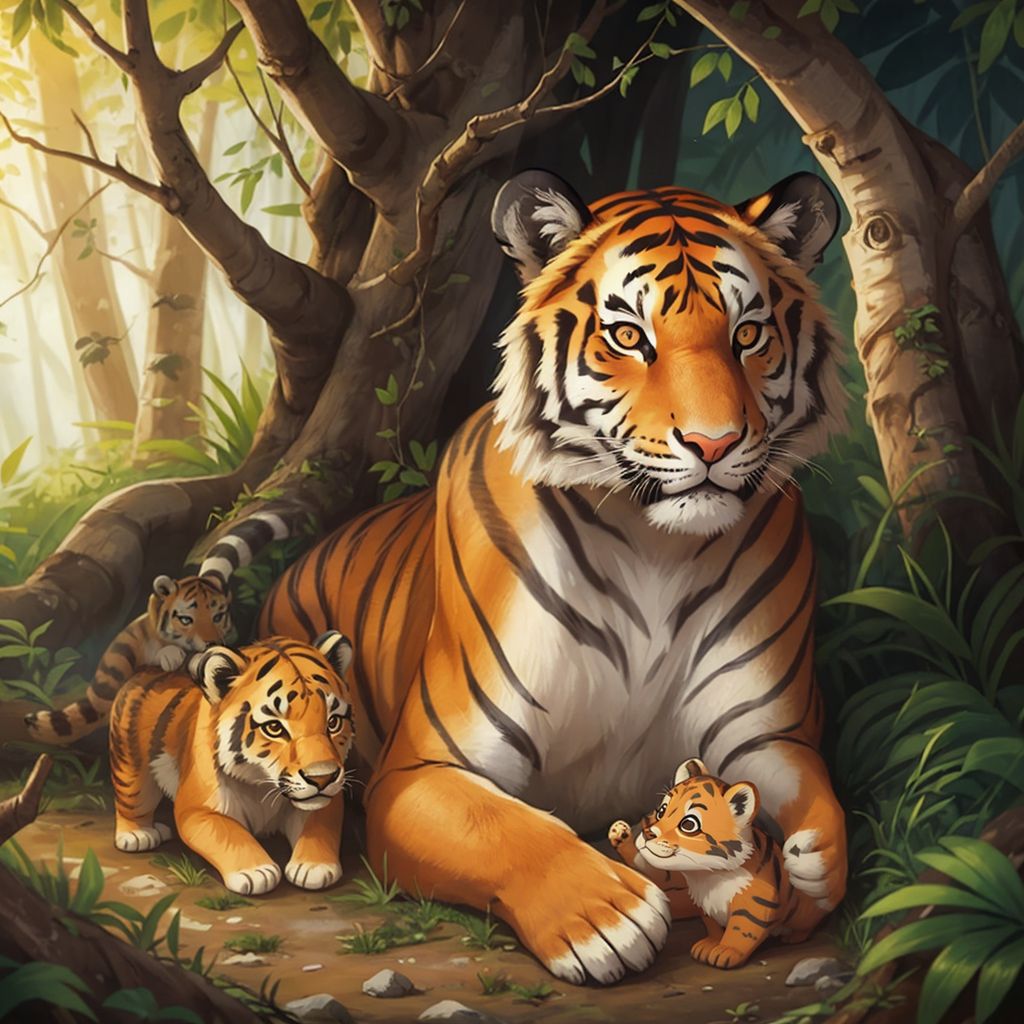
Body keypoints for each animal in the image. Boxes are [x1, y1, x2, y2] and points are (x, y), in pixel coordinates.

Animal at [108, 631, 354, 895]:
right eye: (274, 727)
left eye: (333, 722)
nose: (322, 778)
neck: (261, 785)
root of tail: (147, 670)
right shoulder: (198, 810)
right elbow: (230, 835)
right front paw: (255, 871)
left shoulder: (326, 800)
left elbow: (318, 826)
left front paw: (314, 866)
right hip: (132, 771)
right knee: (132, 802)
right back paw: (139, 834)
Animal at [609, 757, 820, 969]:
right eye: (661, 811)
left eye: (688, 824)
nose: (647, 833)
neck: (707, 874)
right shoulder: (701, 900)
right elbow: (712, 925)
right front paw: (710, 945)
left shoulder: (757, 901)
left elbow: (743, 929)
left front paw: (726, 951)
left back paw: (794, 937)